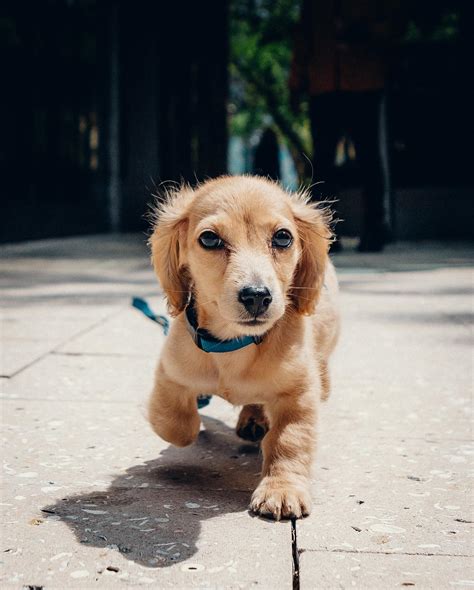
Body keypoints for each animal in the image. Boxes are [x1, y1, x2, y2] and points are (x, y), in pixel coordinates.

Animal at [147, 177, 336, 524]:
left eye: (283, 237)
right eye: (209, 238)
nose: (257, 296)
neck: (236, 343)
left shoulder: (299, 394)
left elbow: (289, 441)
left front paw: (282, 489)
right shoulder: (170, 373)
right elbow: (174, 424)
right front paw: (190, 420)